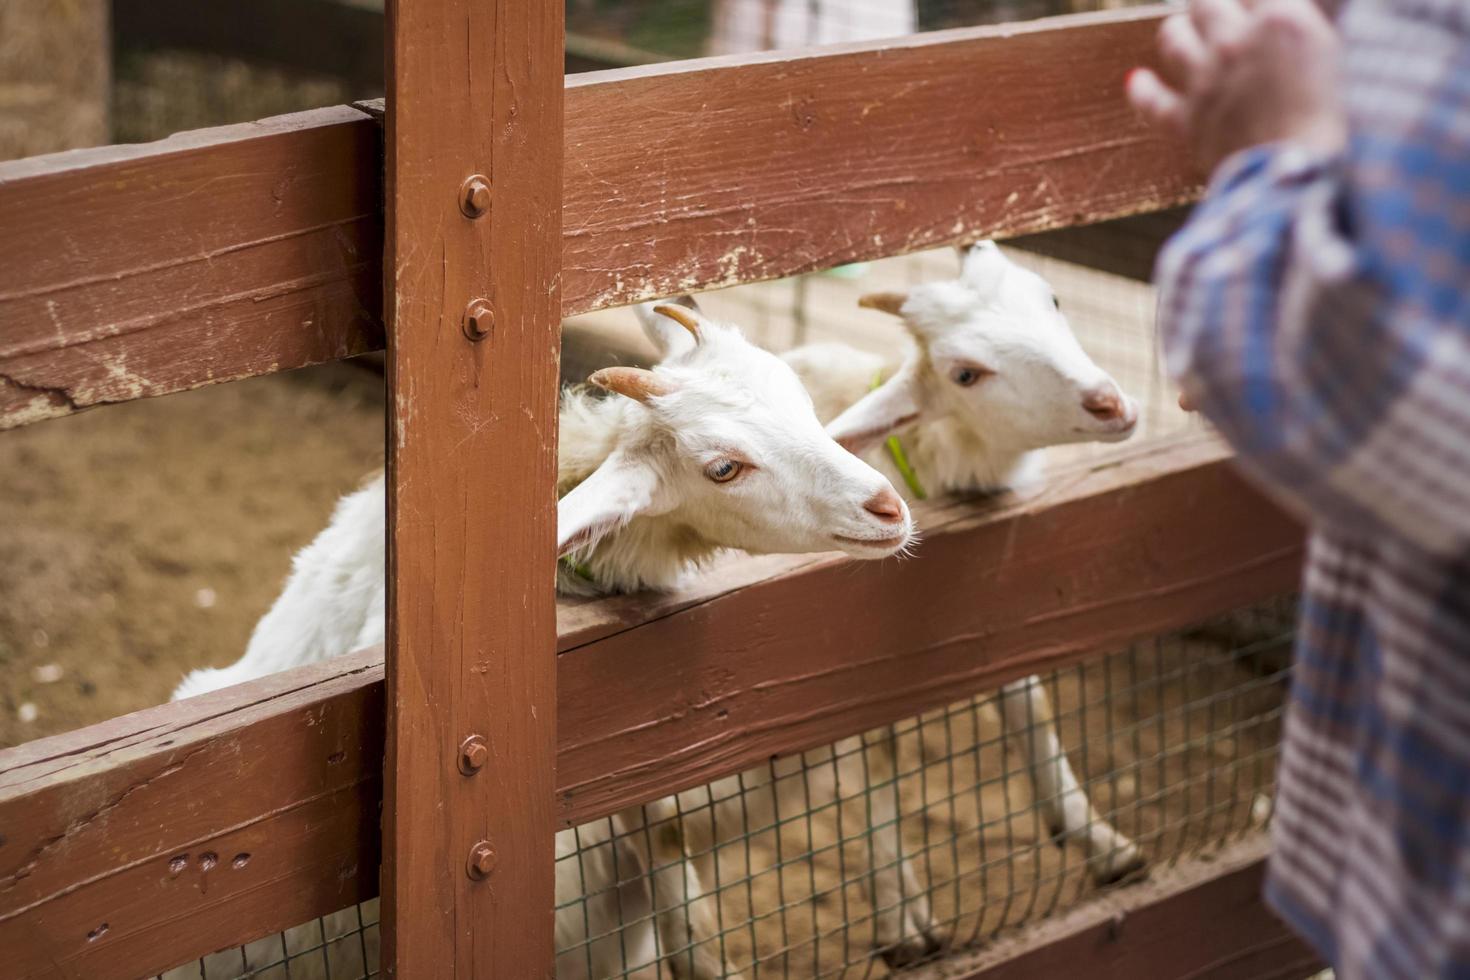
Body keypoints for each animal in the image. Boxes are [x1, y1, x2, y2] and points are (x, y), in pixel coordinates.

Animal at [649, 243, 1152, 963]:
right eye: (966, 373)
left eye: (1052, 298)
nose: (1109, 403)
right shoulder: (817, 638)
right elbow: (873, 762)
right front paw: (902, 916)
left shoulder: (1002, 586)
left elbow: (1027, 699)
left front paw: (1102, 841)